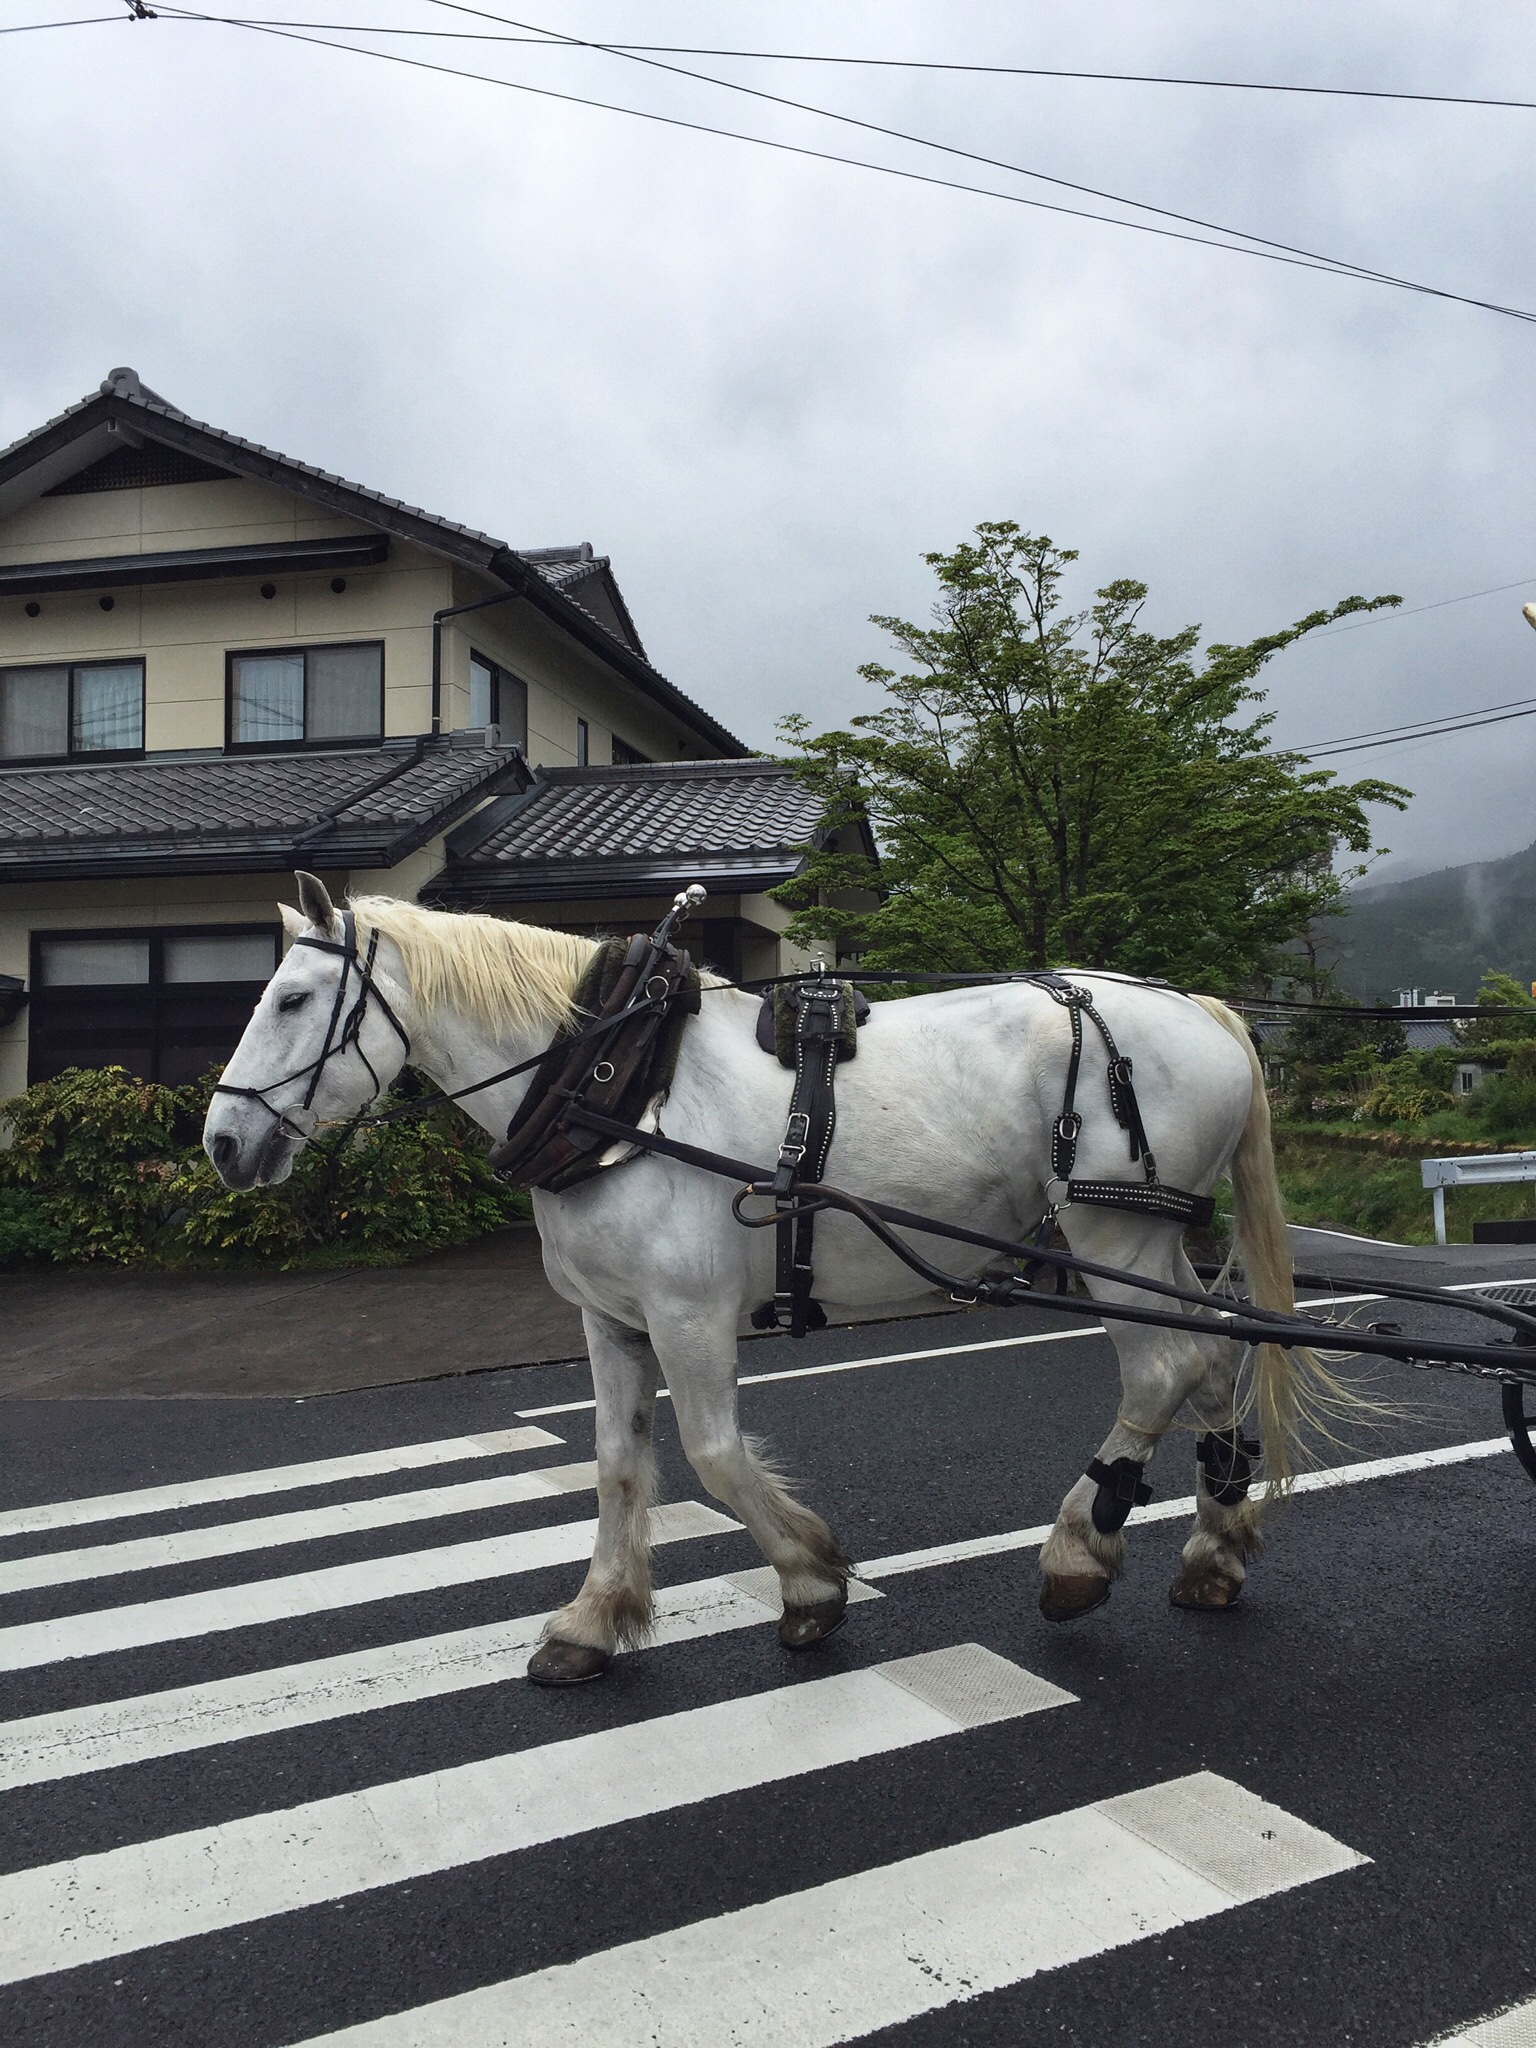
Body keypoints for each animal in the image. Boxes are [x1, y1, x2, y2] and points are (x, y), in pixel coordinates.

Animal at [201, 872, 1335, 1687]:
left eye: (293, 998)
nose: (220, 1142)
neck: (618, 1091)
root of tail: (1202, 1010)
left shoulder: (689, 1312)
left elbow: (710, 1454)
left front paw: (809, 1580)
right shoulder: (611, 1318)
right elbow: (617, 1466)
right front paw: (595, 1619)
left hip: (1112, 1231)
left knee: (1164, 1369)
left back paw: (1078, 1552)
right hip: (1145, 1242)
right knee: (1214, 1357)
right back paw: (1216, 1543)